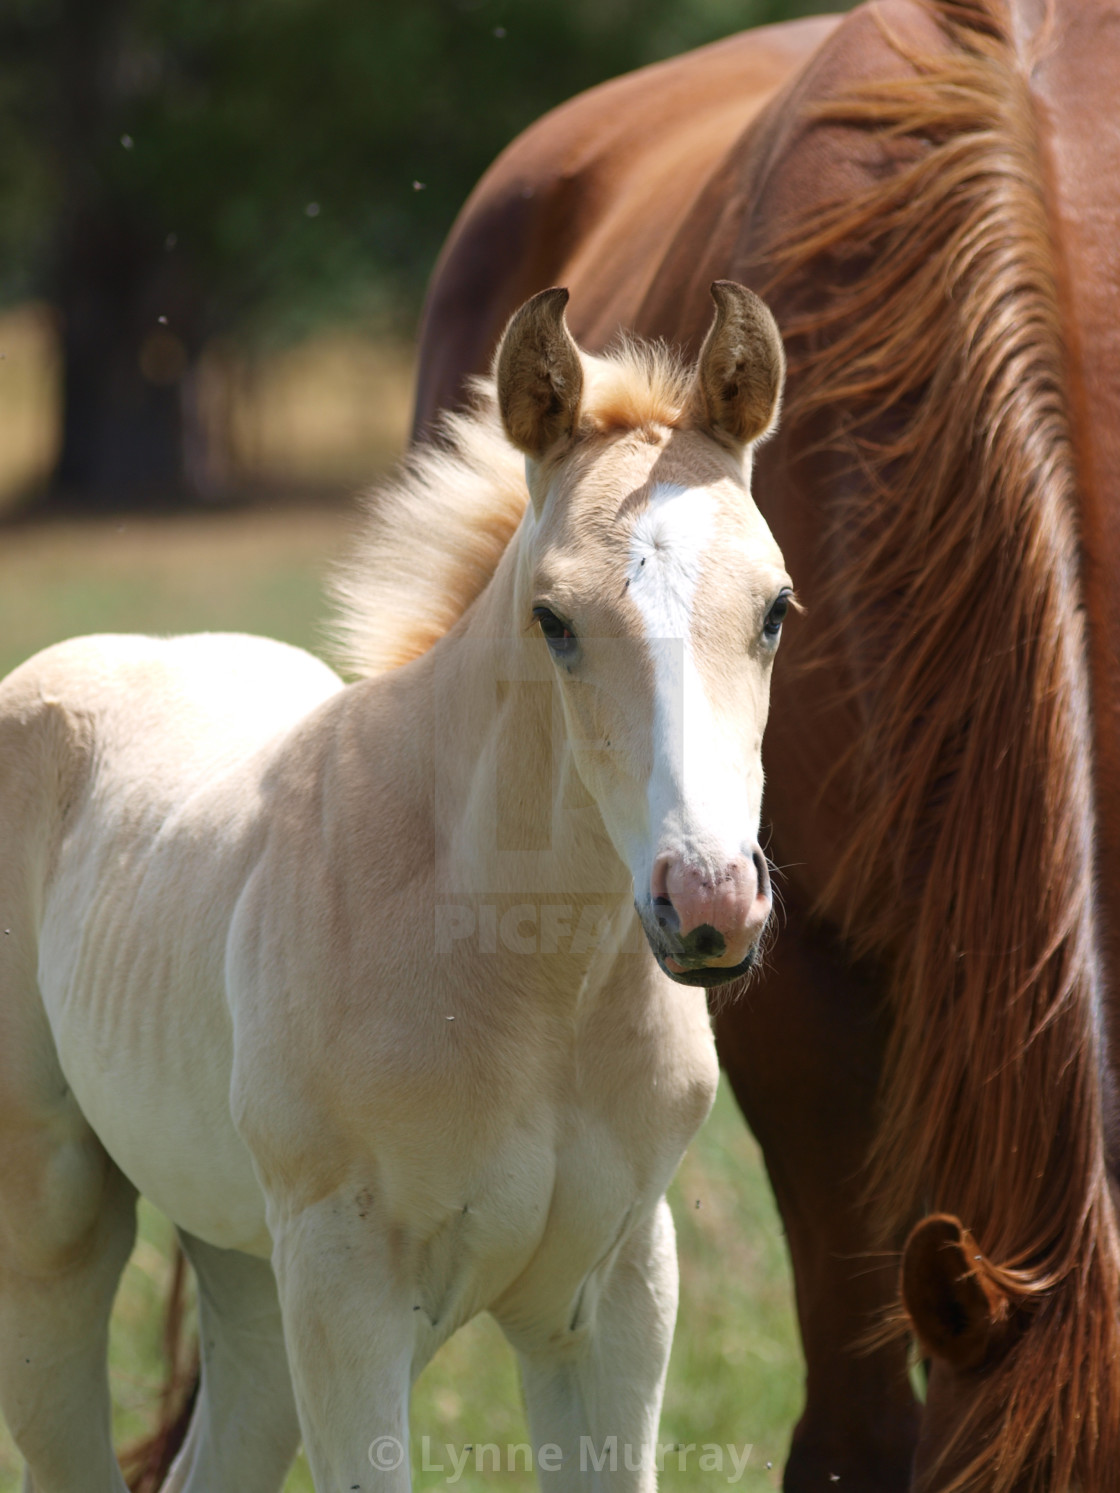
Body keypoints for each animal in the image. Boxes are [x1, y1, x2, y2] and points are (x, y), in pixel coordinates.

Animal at [0, 282, 788, 1493]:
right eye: (553, 620)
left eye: (775, 610)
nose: (708, 904)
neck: (529, 984)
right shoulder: (347, 1291)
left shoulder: (614, 1294)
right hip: (61, 1225)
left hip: (246, 1269)